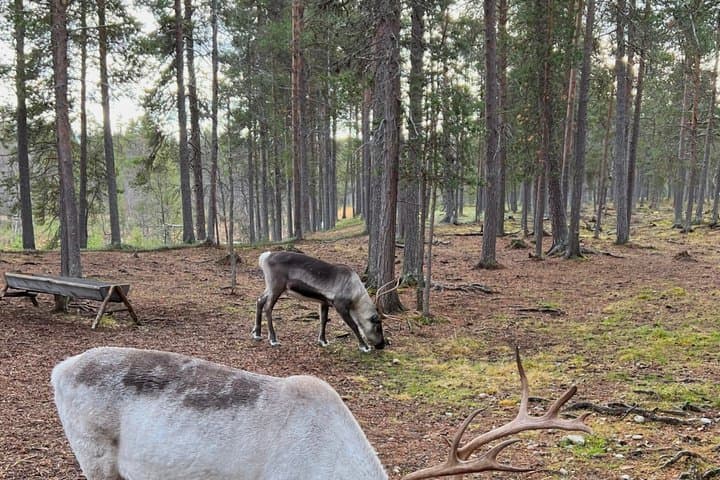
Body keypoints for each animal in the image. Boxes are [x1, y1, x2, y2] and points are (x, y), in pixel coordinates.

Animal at [253, 251, 396, 352]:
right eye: (378, 326)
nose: (382, 345)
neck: (356, 295)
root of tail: (264, 257)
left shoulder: (324, 302)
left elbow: (323, 321)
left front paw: (323, 341)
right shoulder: (340, 305)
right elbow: (354, 325)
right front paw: (364, 347)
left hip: (270, 287)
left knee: (259, 300)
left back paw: (257, 333)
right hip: (277, 286)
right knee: (268, 307)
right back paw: (273, 339)